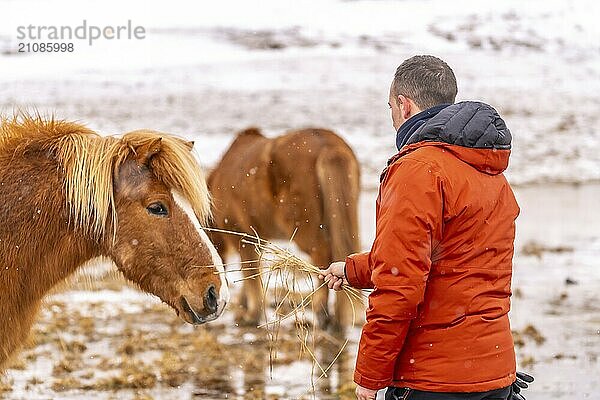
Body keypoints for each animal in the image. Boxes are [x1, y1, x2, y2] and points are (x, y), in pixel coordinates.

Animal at [209, 128, 358, 332]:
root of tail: (327, 144)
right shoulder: (258, 239)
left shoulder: (243, 235)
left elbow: (250, 275)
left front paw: (250, 315)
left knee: (322, 258)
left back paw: (322, 314)